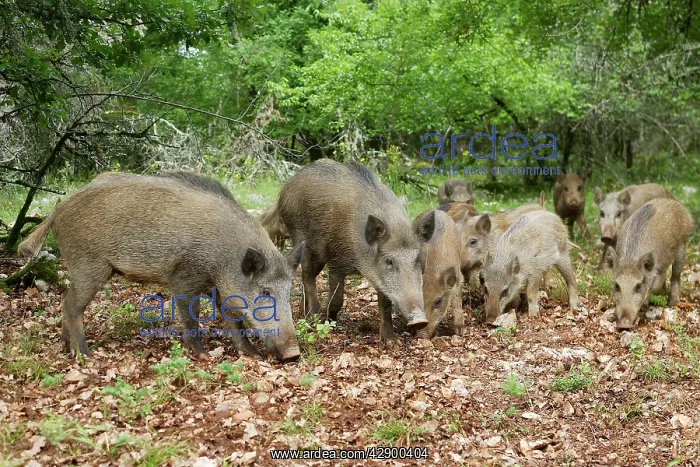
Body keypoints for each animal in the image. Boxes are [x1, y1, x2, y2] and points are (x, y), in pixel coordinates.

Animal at [18, 172, 304, 362]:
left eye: (289, 291)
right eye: (265, 291)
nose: (294, 354)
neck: (225, 258)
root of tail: (58, 209)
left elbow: (235, 320)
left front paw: (253, 355)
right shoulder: (183, 277)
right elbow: (191, 317)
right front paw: (203, 356)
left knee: (65, 300)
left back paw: (67, 347)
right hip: (88, 264)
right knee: (71, 305)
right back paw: (85, 356)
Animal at [277, 159, 435, 343]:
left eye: (417, 258)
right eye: (389, 260)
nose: (420, 321)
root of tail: (287, 186)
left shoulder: (379, 276)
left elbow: (385, 304)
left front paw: (390, 342)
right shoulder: (336, 259)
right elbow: (337, 298)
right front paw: (326, 321)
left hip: (319, 254)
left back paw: (304, 314)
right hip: (301, 238)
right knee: (307, 275)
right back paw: (313, 316)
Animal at [412, 209, 463, 338]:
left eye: (438, 301)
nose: (421, 335)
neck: (433, 270)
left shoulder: (459, 276)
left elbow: (457, 298)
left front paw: (459, 332)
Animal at [606, 198, 693, 330]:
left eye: (638, 286)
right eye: (616, 285)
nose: (624, 325)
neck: (630, 258)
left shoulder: (660, 269)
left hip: (682, 246)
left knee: (675, 276)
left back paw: (672, 303)